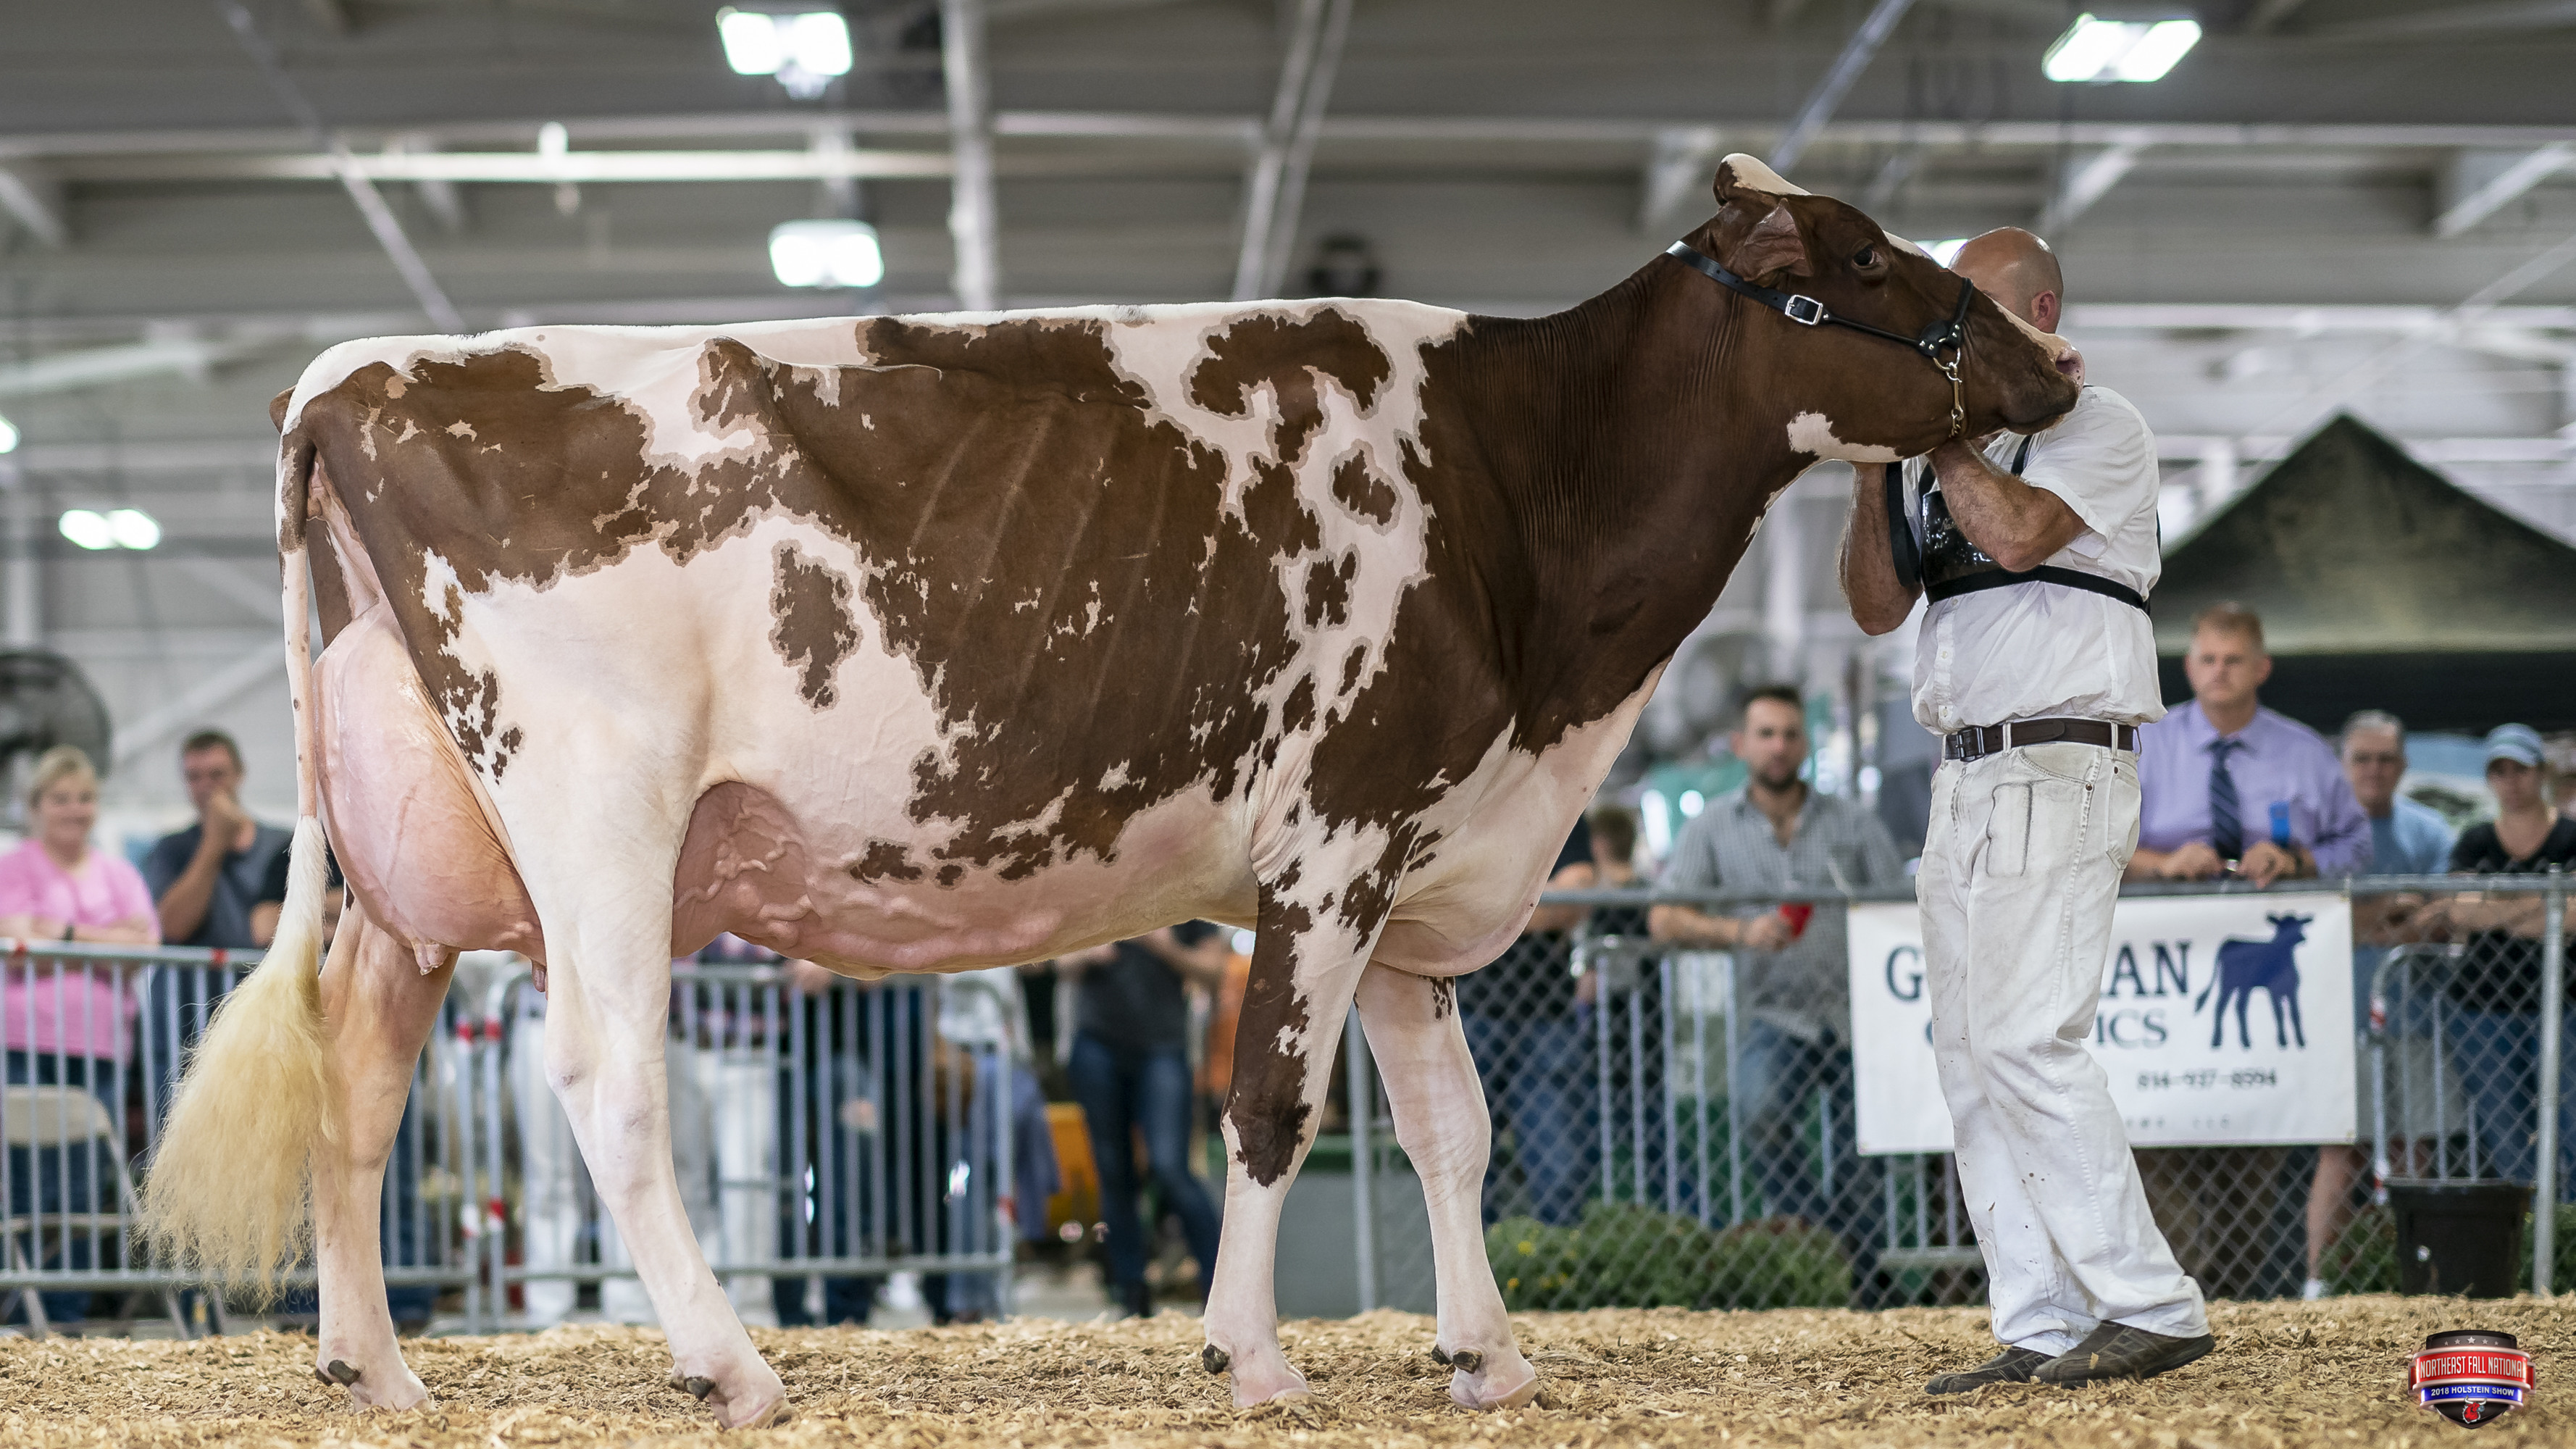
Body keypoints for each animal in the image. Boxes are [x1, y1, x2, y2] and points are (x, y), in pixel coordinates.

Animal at [140, 157, 2079, 1426]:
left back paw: (379, 1366)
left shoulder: (1418, 866)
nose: (2050, 363)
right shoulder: (1331, 835)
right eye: (1857, 255)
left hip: (406, 866)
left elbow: (1447, 1129)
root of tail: (361, 367)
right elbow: (1273, 1105)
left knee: (354, 1088)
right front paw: (1255, 1354)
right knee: (606, 1083)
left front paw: (1487, 1352)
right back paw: (732, 1362)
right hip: (596, 816)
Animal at [2196, 913, 2312, 1050]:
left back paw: (2221, 1041)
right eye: (2282, 926)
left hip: (2235, 985)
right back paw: (2240, 1041)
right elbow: (2279, 1014)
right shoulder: (2273, 990)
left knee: (2227, 1006)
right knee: (2234, 1006)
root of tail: (2230, 941)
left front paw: (2301, 1041)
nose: (2302, 938)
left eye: (2299, 924)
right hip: (2233, 983)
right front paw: (2283, 1041)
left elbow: (2295, 1014)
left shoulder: (2293, 990)